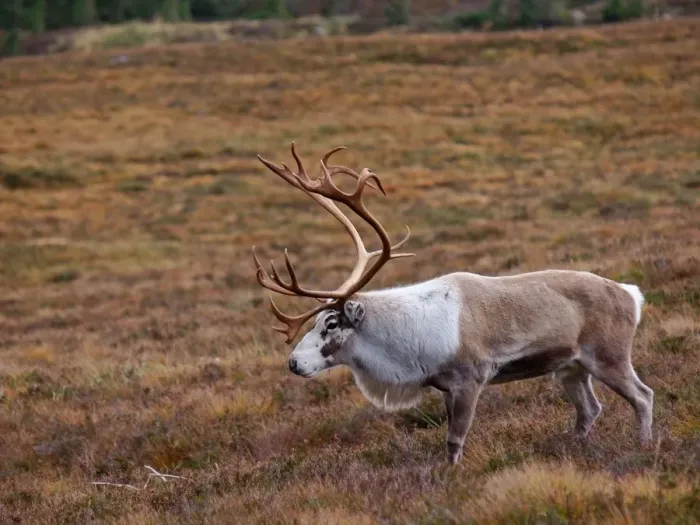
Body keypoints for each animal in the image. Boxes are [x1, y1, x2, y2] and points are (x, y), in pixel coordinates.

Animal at [251, 143, 654, 465]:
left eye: (331, 323)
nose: (294, 362)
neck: (406, 336)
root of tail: (630, 294)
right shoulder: (444, 387)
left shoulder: (469, 380)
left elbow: (455, 441)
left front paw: (450, 476)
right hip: (571, 367)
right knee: (590, 409)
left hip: (608, 356)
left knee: (643, 396)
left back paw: (645, 447)